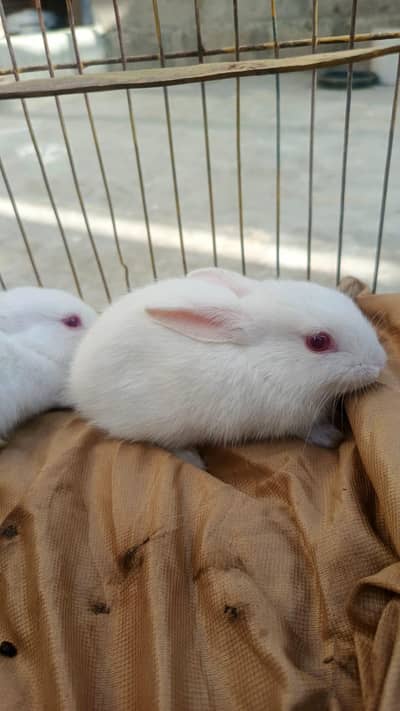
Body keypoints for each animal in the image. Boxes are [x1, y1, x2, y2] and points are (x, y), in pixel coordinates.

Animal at [68, 268, 386, 462]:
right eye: (318, 341)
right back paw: (194, 459)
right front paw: (332, 436)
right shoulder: (291, 418)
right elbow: (308, 430)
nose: (379, 362)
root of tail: (78, 382)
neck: (264, 363)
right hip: (159, 423)